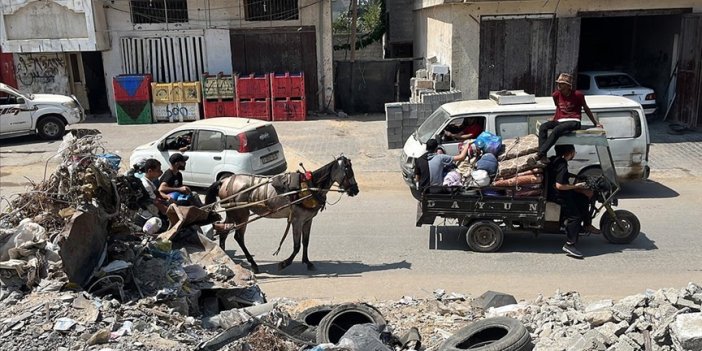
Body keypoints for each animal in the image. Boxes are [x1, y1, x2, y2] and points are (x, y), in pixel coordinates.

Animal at [202, 155, 358, 274]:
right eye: (349, 171)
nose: (356, 190)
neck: (310, 186)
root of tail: (225, 181)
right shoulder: (297, 220)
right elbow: (297, 246)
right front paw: (284, 263)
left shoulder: (308, 220)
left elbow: (306, 242)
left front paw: (307, 262)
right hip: (241, 214)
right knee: (238, 237)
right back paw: (253, 264)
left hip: (232, 213)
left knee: (223, 231)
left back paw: (225, 257)